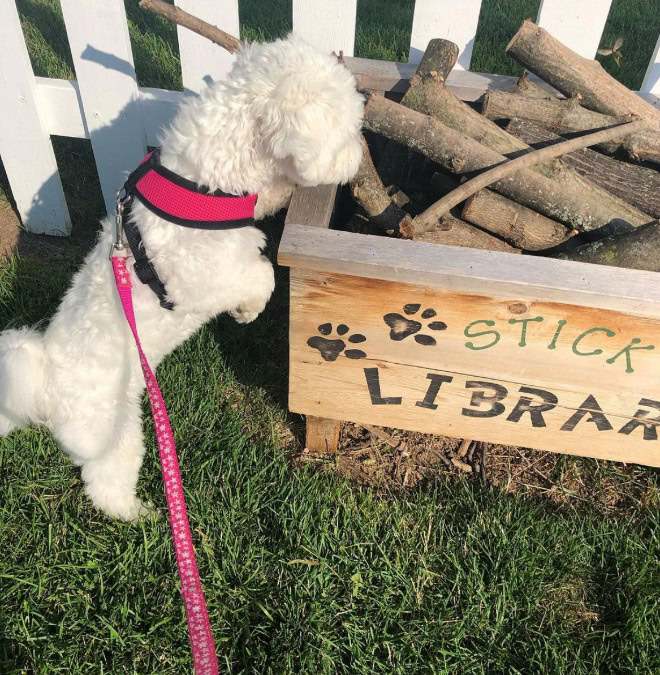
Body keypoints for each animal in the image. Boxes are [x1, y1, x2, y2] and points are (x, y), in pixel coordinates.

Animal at [0, 34, 360, 520]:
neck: (201, 183)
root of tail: (45, 386)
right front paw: (248, 310)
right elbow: (260, 275)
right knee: (104, 485)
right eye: (349, 129)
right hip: (114, 436)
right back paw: (141, 515)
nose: (361, 155)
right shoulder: (203, 277)